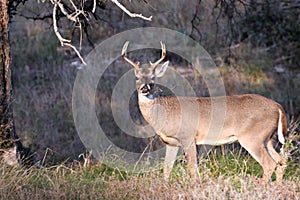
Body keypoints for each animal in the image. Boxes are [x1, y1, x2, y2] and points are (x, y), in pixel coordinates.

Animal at [120, 41, 288, 182]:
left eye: (153, 79)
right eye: (137, 78)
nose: (144, 88)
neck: (165, 112)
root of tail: (278, 107)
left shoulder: (188, 137)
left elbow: (192, 169)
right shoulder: (171, 142)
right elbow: (167, 170)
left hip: (253, 137)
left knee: (269, 164)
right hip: (267, 139)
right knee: (281, 161)